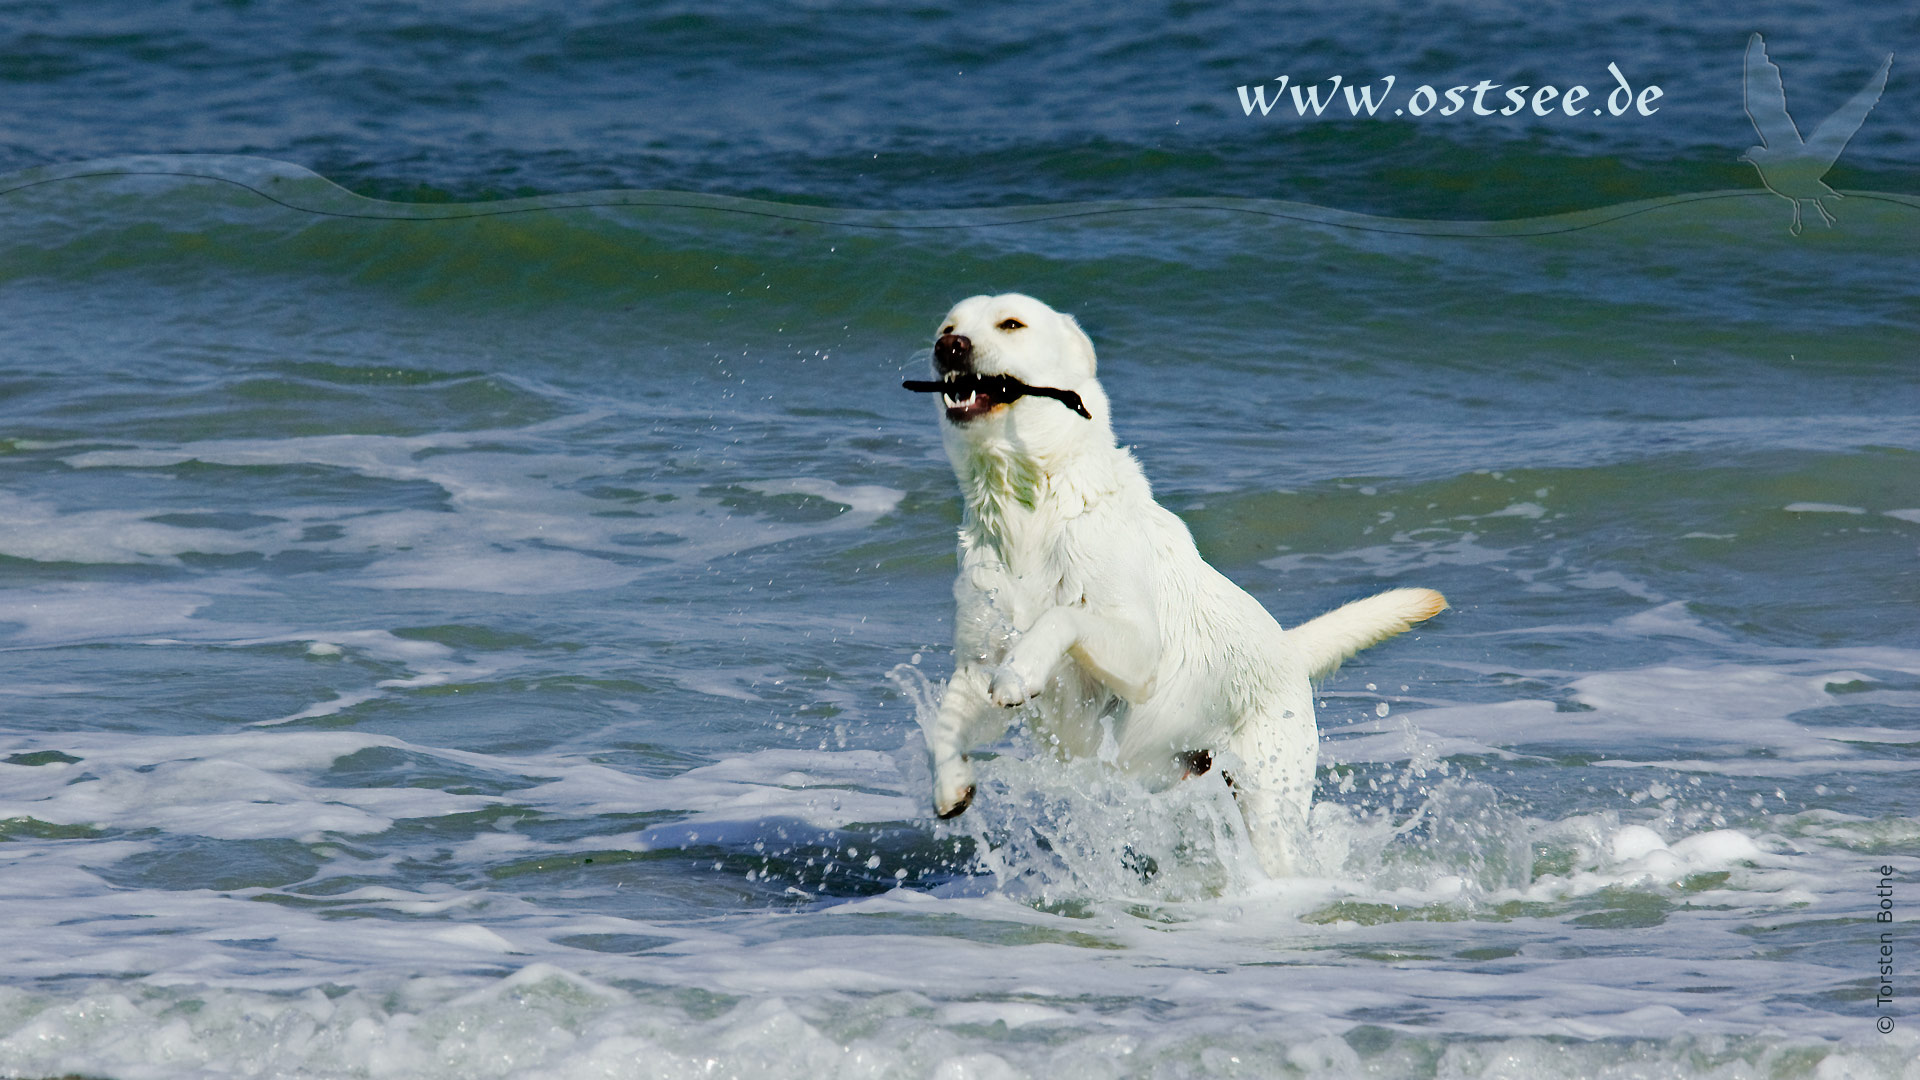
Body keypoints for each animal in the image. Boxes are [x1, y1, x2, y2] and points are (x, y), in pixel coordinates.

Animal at [910, 292, 1443, 876]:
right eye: (947, 327)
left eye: (1011, 324)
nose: (948, 347)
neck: (1030, 506)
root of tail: (1288, 647)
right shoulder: (978, 657)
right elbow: (946, 717)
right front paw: (950, 783)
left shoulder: (1137, 652)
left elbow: (1061, 616)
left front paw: (1021, 671)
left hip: (1268, 792)